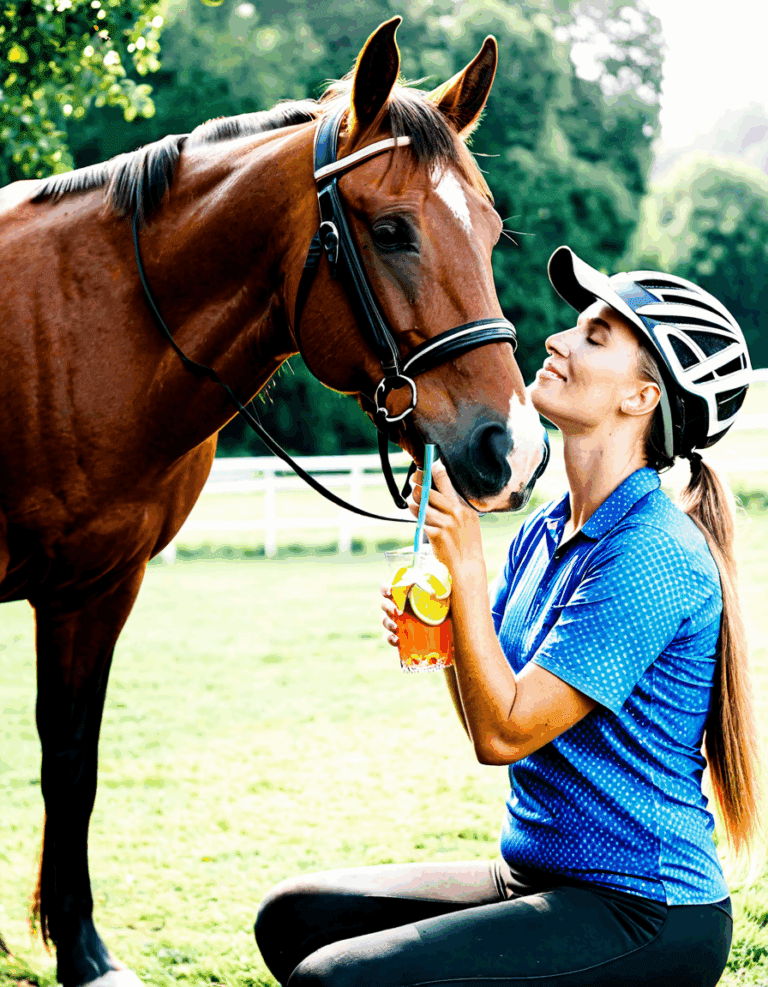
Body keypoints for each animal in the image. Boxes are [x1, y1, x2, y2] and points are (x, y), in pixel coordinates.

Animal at [0, 18, 547, 987]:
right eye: (393, 230)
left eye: (487, 231)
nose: (510, 448)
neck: (72, 331)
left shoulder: (95, 588)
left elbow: (71, 760)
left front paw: (82, 948)